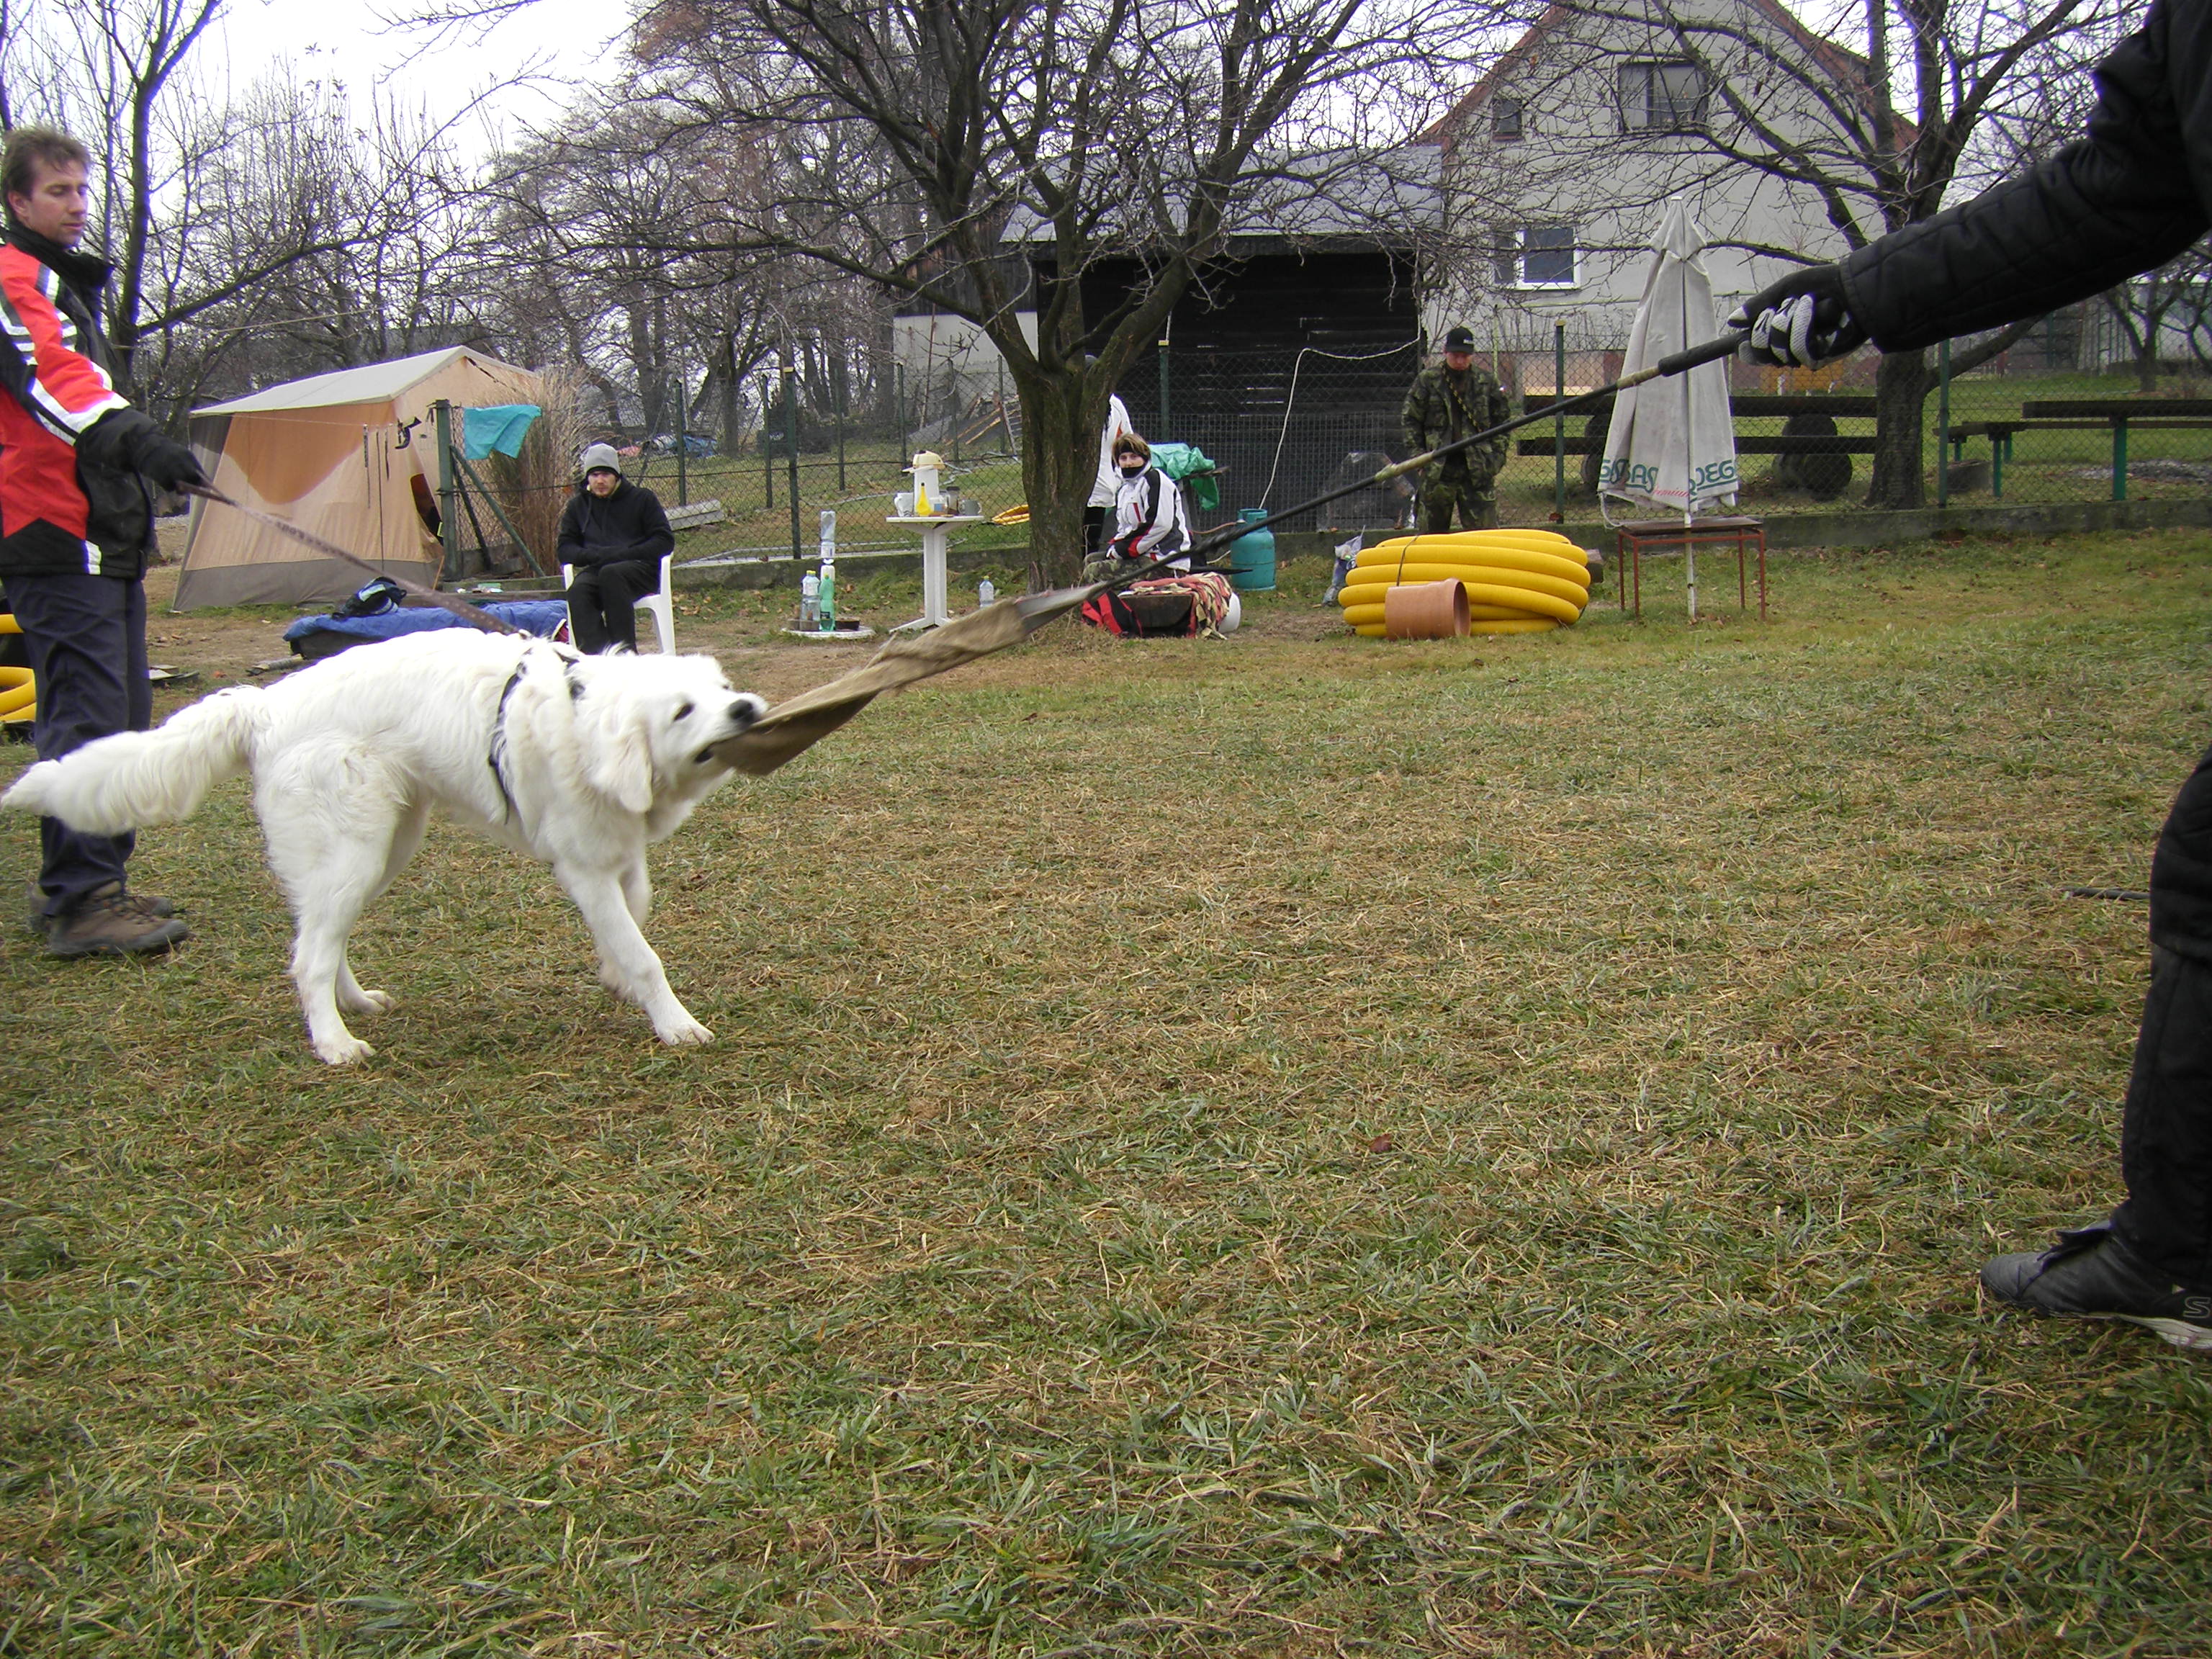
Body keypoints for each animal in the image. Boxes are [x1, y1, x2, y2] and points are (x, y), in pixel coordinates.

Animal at [4, 637, 770, 1066]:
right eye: (682, 711)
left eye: (722, 691)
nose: (748, 709)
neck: (587, 722)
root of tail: (263, 707)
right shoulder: (583, 866)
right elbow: (644, 952)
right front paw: (675, 1024)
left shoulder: (613, 853)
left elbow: (635, 910)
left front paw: (613, 974)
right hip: (357, 851)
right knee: (308, 955)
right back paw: (334, 1044)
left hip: (379, 851)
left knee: (319, 938)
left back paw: (353, 1004)